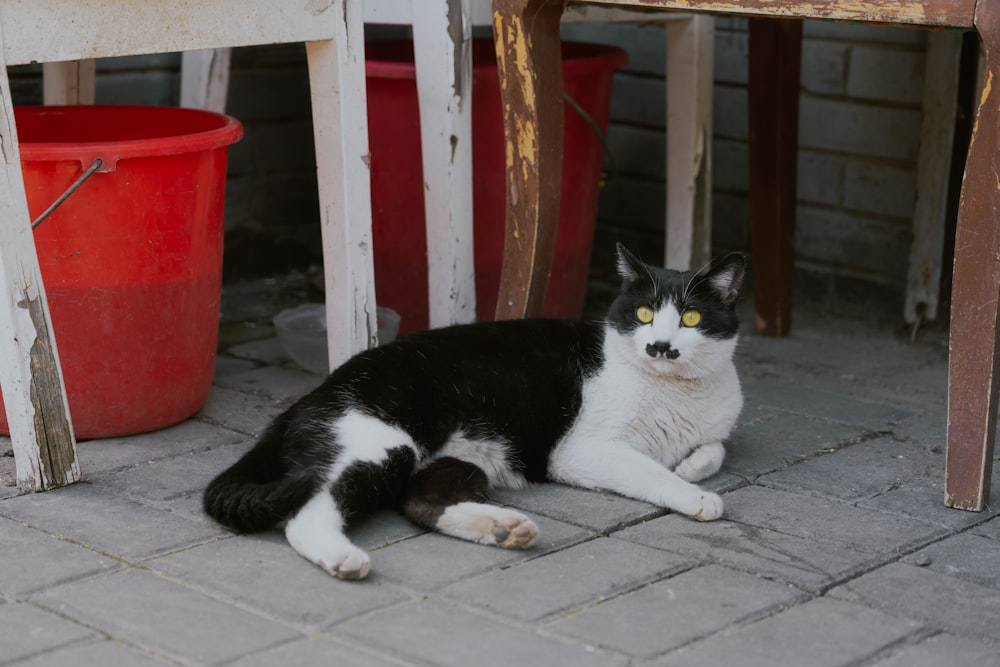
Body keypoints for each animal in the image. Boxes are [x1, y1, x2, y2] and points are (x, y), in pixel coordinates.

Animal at [205, 245, 744, 580]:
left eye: (691, 317)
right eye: (645, 314)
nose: (659, 347)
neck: (674, 391)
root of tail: (309, 397)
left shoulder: (714, 424)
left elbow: (715, 446)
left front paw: (691, 465)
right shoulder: (581, 451)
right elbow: (649, 470)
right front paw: (695, 495)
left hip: (455, 460)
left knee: (421, 503)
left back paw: (504, 529)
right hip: (380, 443)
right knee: (307, 512)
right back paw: (344, 558)